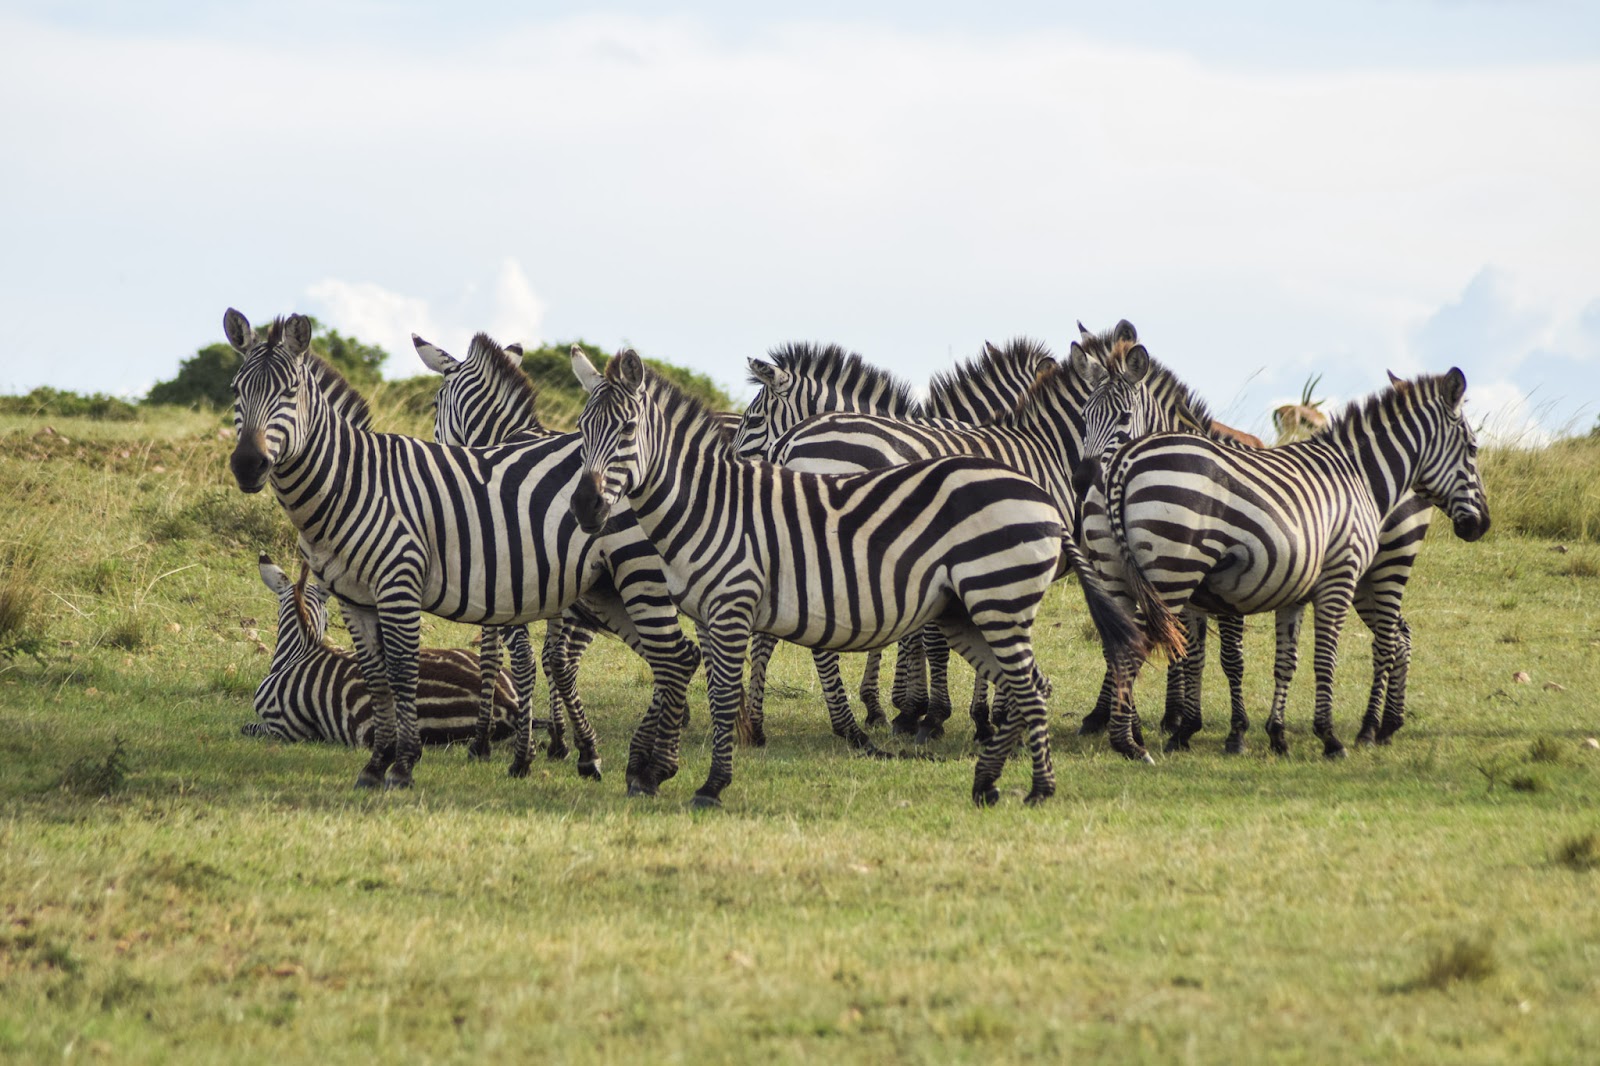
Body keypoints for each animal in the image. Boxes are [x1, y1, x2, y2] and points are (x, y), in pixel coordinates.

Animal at [1076, 368, 1489, 763]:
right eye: (1473, 448)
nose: (1480, 524)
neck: (1360, 475)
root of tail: (1123, 462)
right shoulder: (1337, 577)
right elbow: (1321, 659)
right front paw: (1327, 738)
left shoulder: (1293, 590)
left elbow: (1283, 661)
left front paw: (1274, 735)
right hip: (1174, 575)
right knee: (1389, 641)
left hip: (1124, 576)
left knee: (1396, 637)